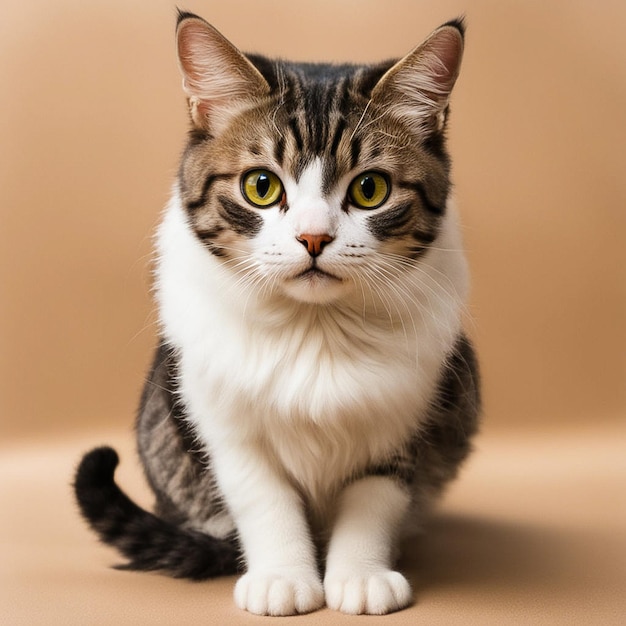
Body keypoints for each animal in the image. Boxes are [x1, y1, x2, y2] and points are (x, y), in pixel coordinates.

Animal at [75, 9, 480, 616]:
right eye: (261, 185)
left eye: (370, 189)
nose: (313, 237)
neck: (315, 329)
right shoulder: (220, 416)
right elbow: (263, 497)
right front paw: (282, 577)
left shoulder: (408, 411)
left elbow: (374, 498)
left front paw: (361, 574)